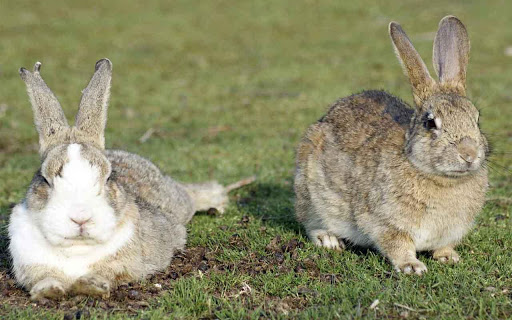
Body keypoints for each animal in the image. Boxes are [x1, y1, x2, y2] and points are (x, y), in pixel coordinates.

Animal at [294, 16, 486, 274]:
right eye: (430, 122)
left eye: (477, 119)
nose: (469, 154)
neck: (440, 178)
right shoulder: (384, 222)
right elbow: (397, 244)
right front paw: (412, 266)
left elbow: (443, 245)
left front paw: (449, 256)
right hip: (311, 195)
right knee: (311, 222)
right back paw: (329, 240)